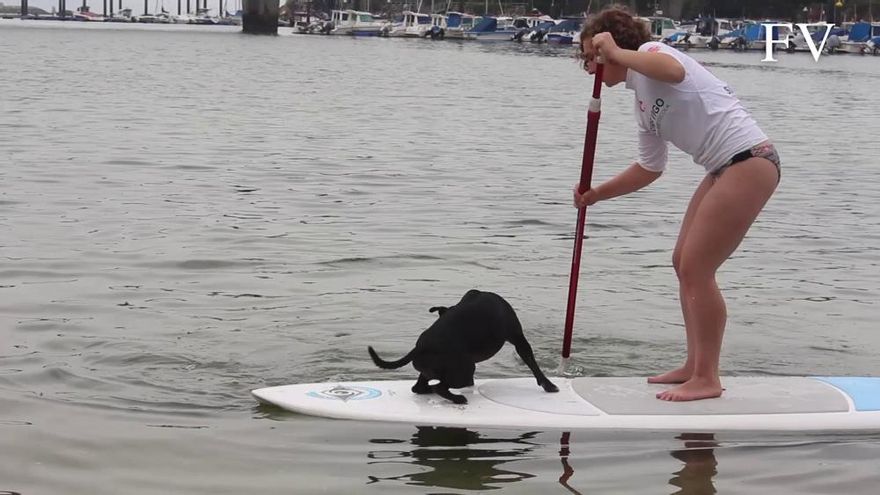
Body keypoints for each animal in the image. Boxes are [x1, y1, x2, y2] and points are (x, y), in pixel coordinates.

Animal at [368, 288, 560, 404]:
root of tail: (421, 346)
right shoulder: (519, 339)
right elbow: (532, 362)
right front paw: (549, 385)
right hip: (465, 370)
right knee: (440, 387)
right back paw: (457, 398)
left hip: (430, 370)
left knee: (420, 387)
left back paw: (433, 390)